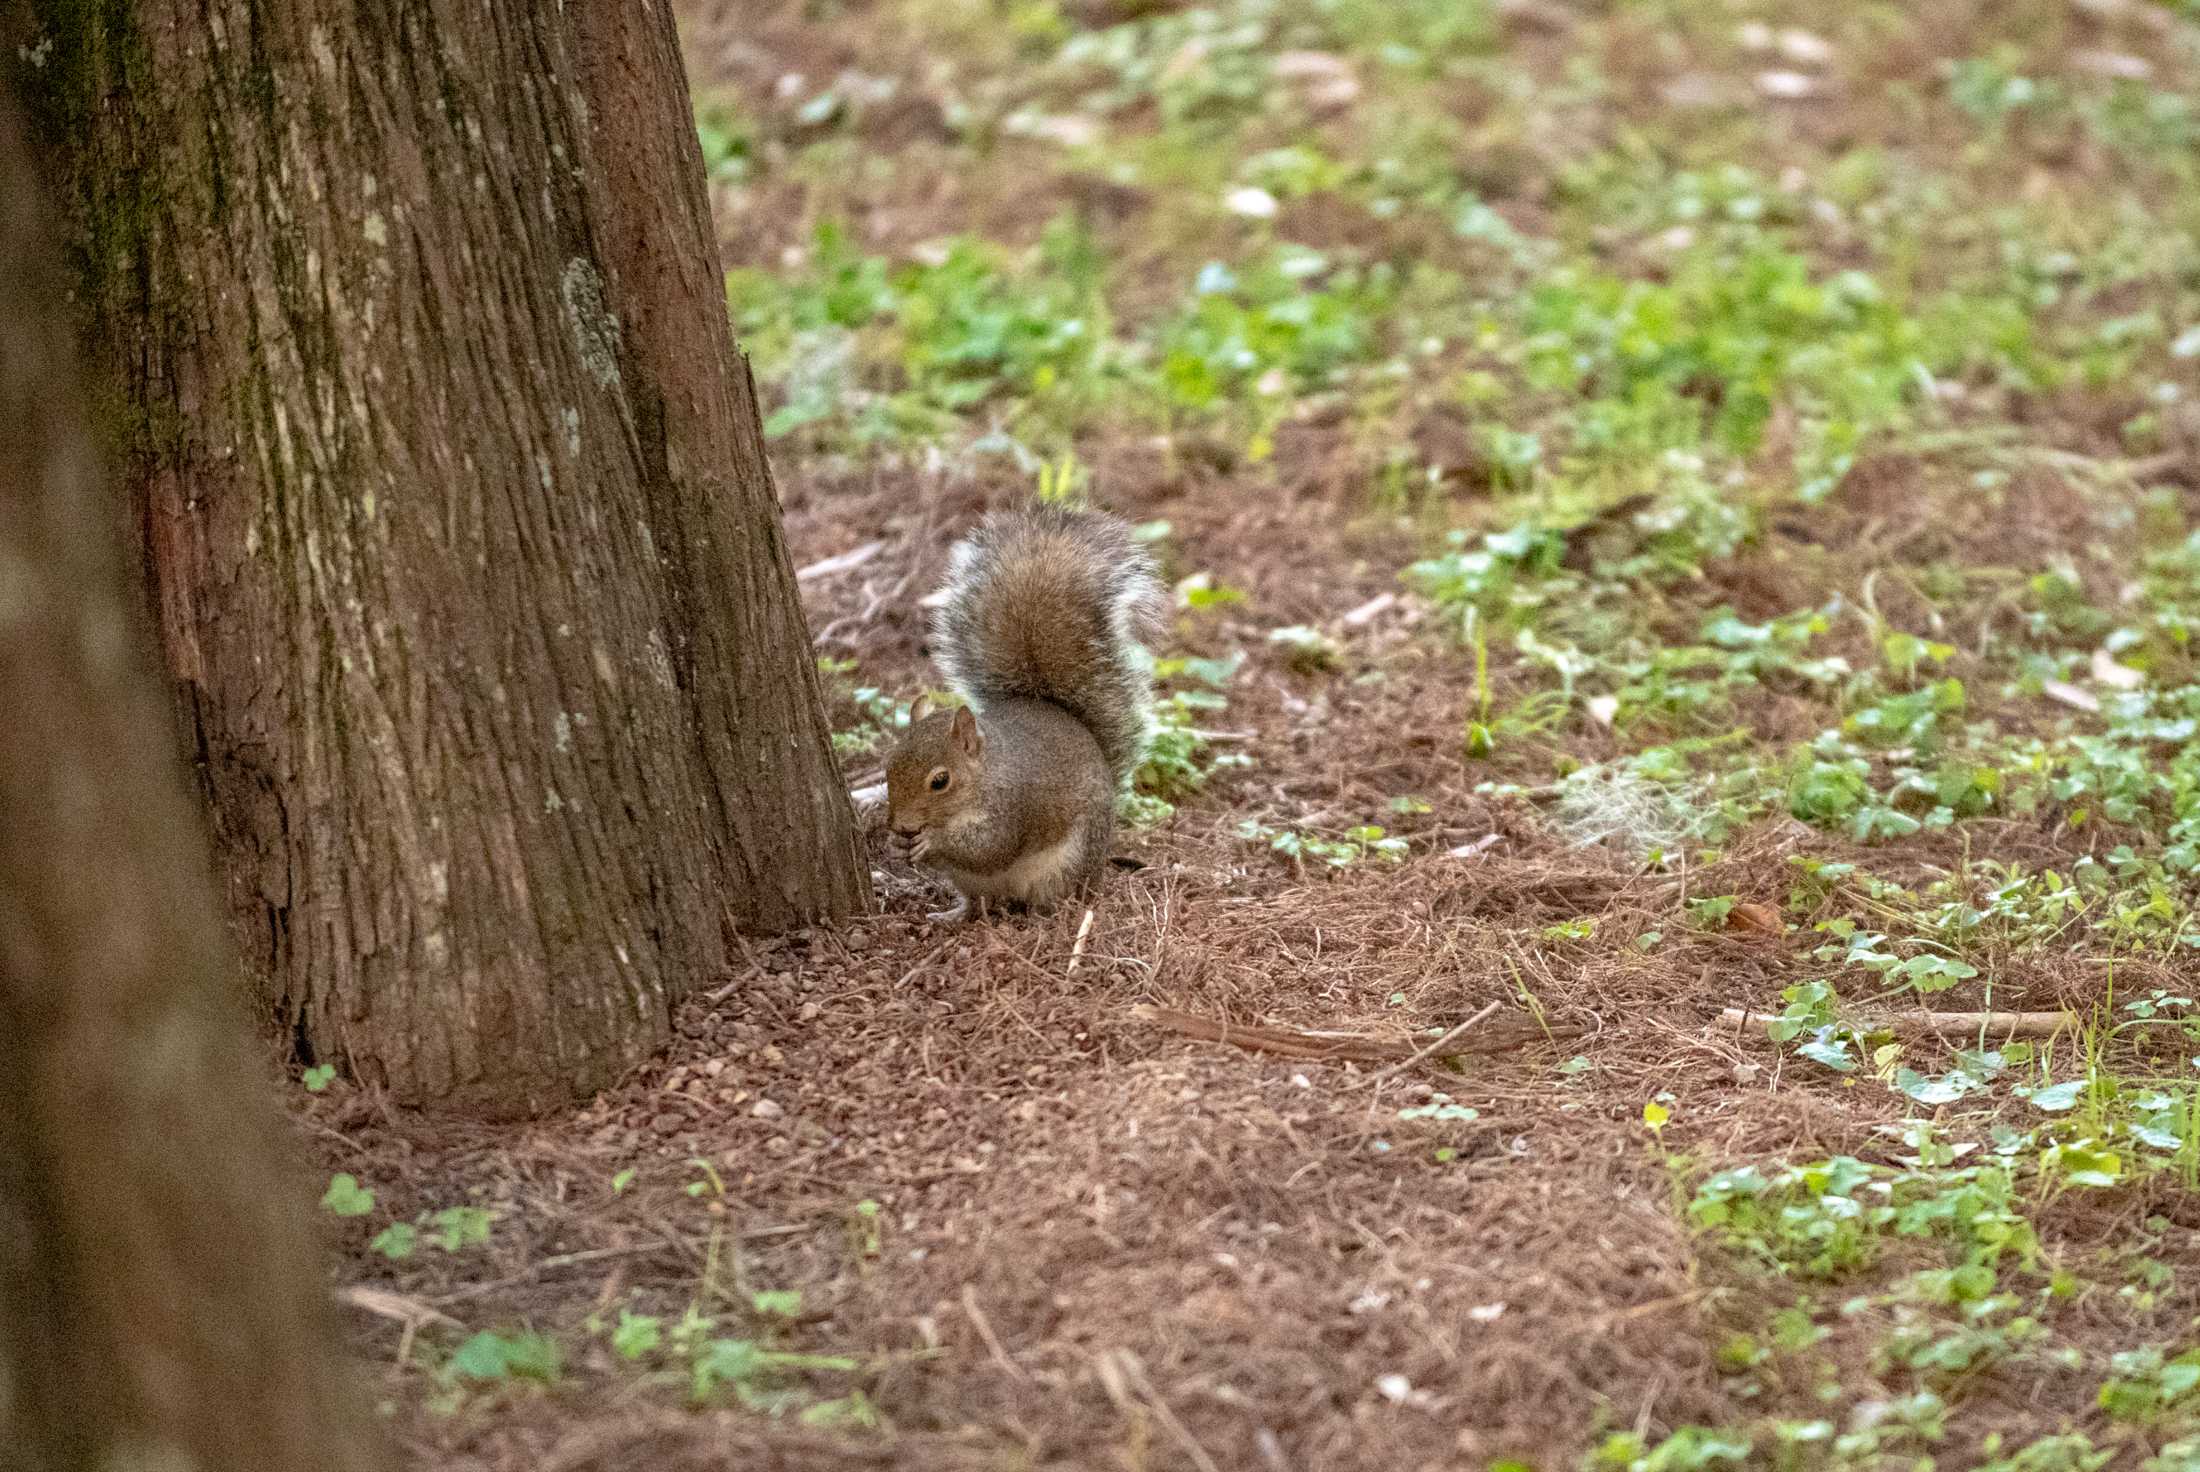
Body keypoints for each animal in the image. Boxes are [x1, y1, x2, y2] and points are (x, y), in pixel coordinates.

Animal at [884, 506, 1170, 919]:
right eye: (888, 768)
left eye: (940, 781)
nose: (904, 827)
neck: (985, 773)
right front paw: (896, 845)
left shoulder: (1012, 807)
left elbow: (990, 848)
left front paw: (933, 841)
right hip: (972, 885)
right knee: (979, 901)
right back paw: (954, 915)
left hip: (1066, 864)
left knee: (1056, 894)